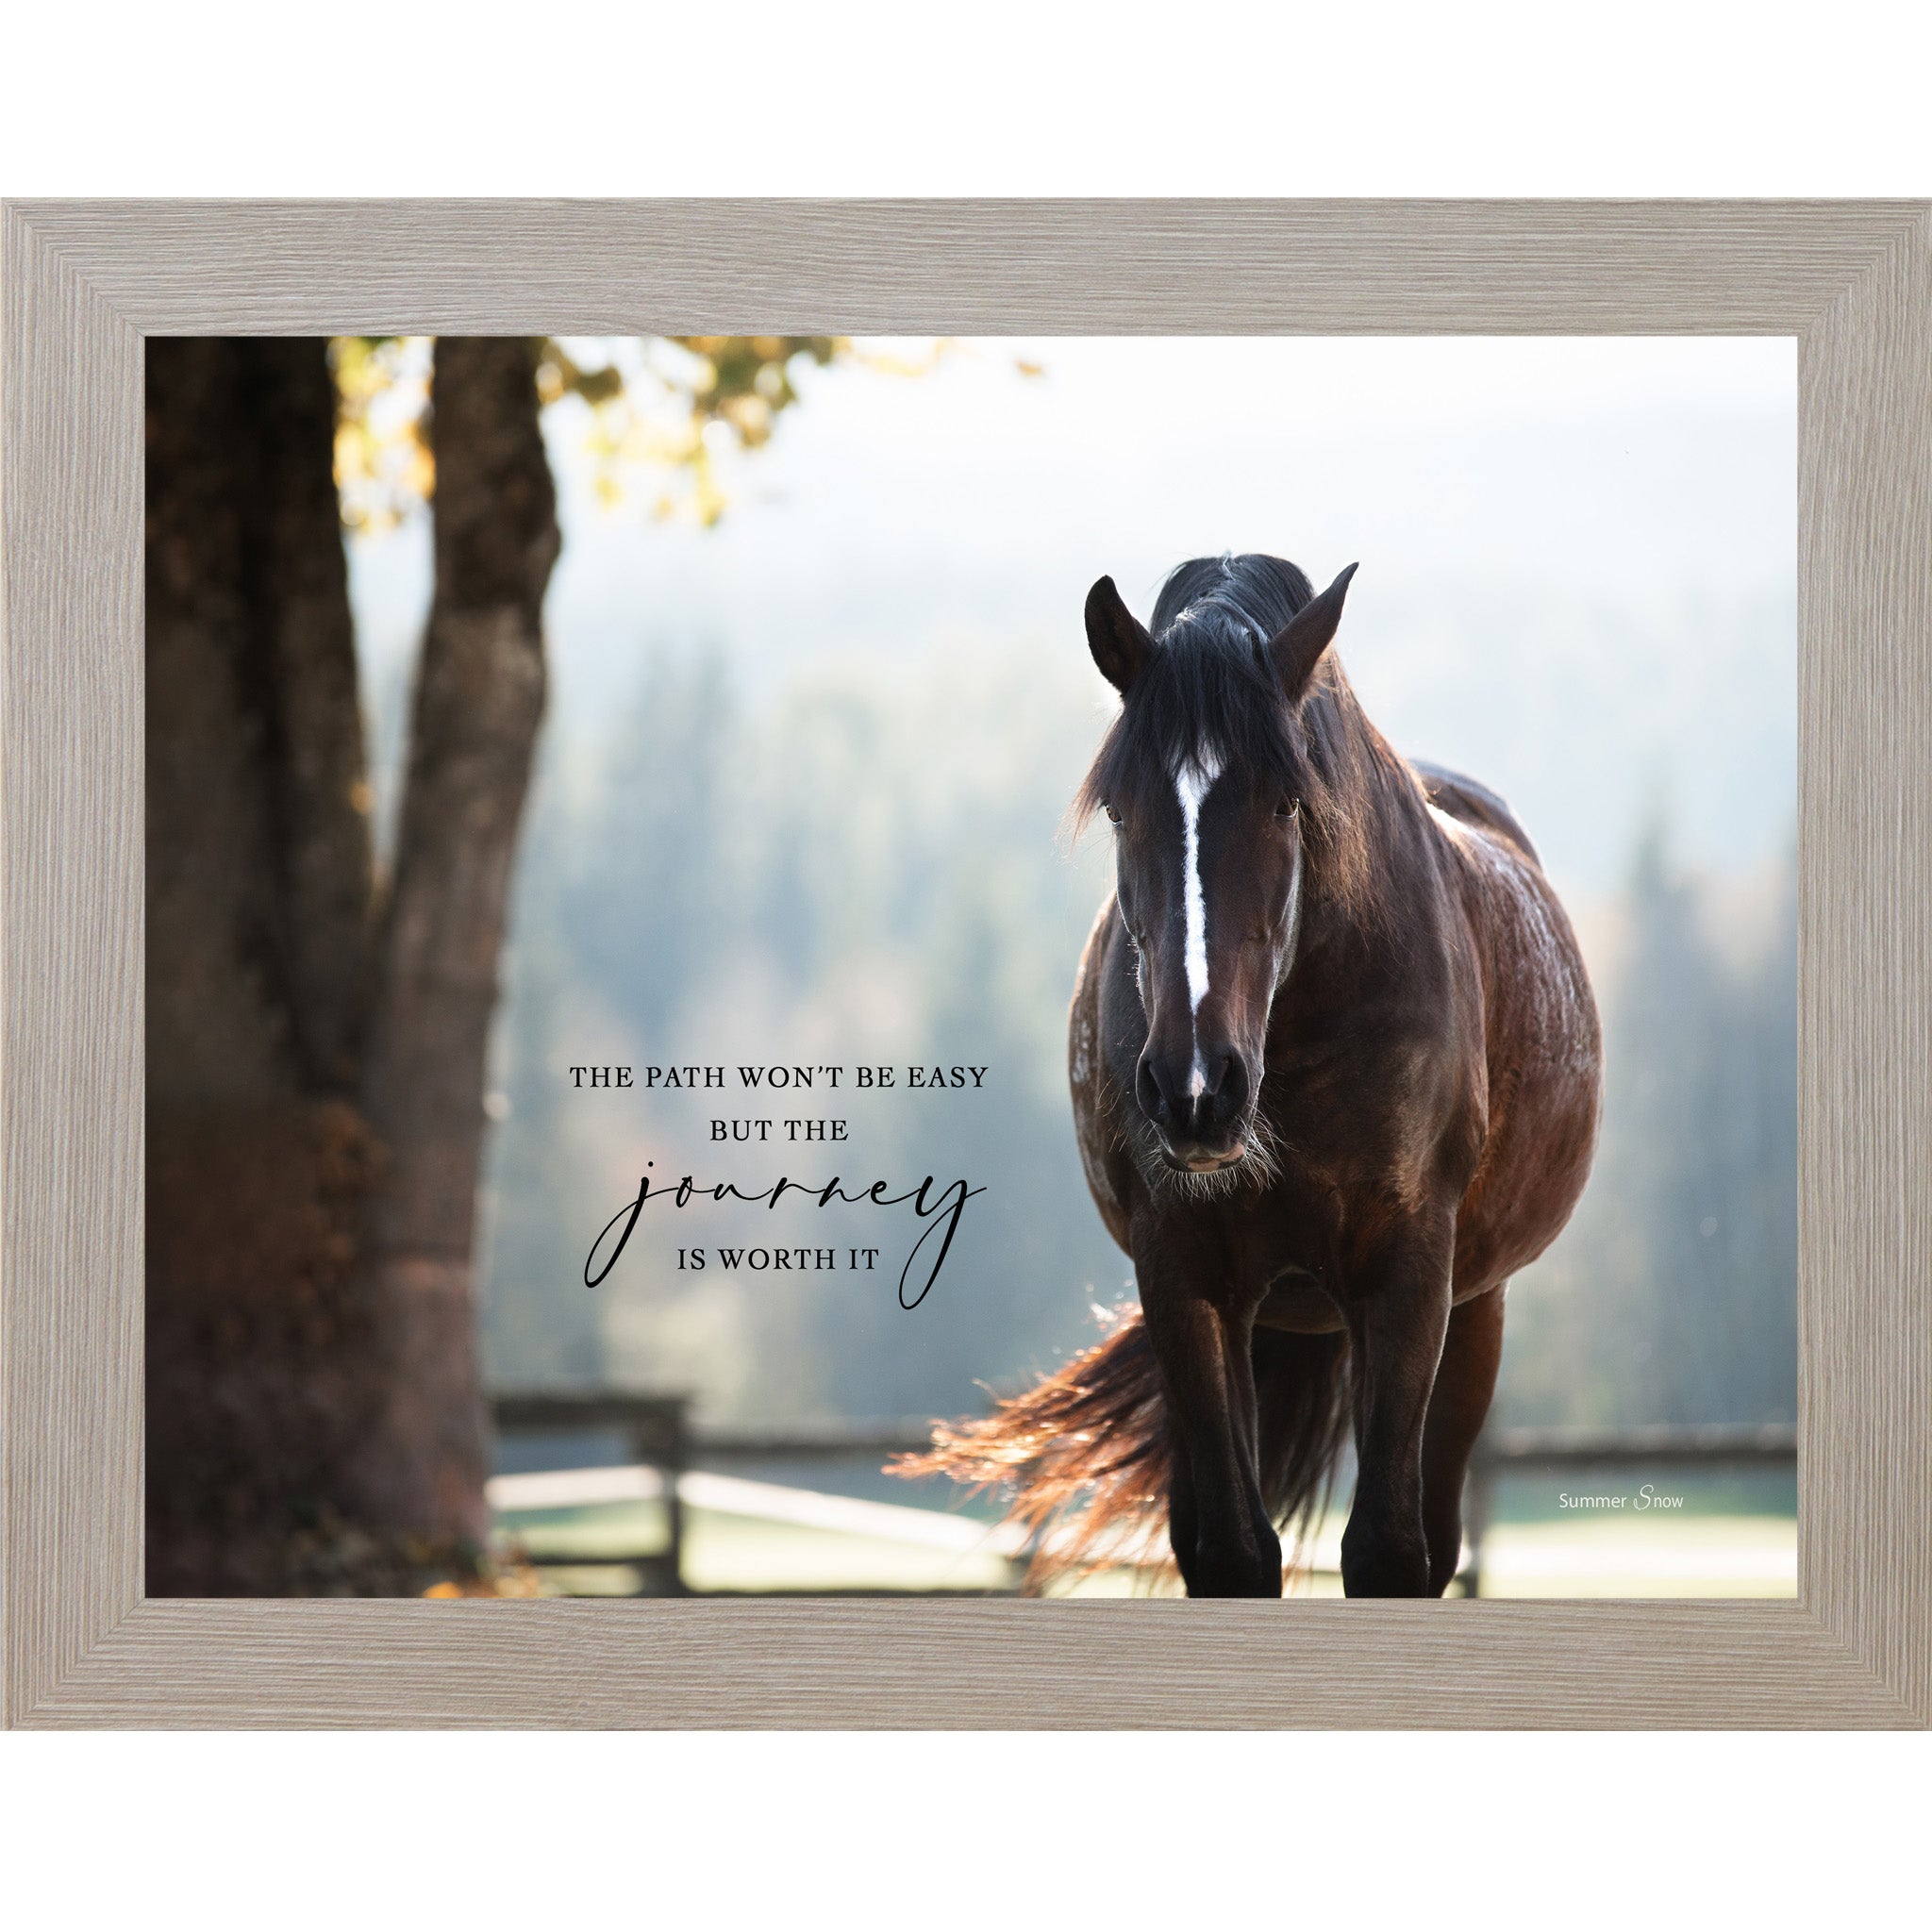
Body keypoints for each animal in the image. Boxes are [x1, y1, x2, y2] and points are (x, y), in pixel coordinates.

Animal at [900, 553, 1602, 1597]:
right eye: (1123, 810)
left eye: (1285, 801)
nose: (1195, 1090)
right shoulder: (1184, 1280)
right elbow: (1233, 1550)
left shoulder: (1409, 1280)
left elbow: (1388, 1550)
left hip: (1476, 1310)